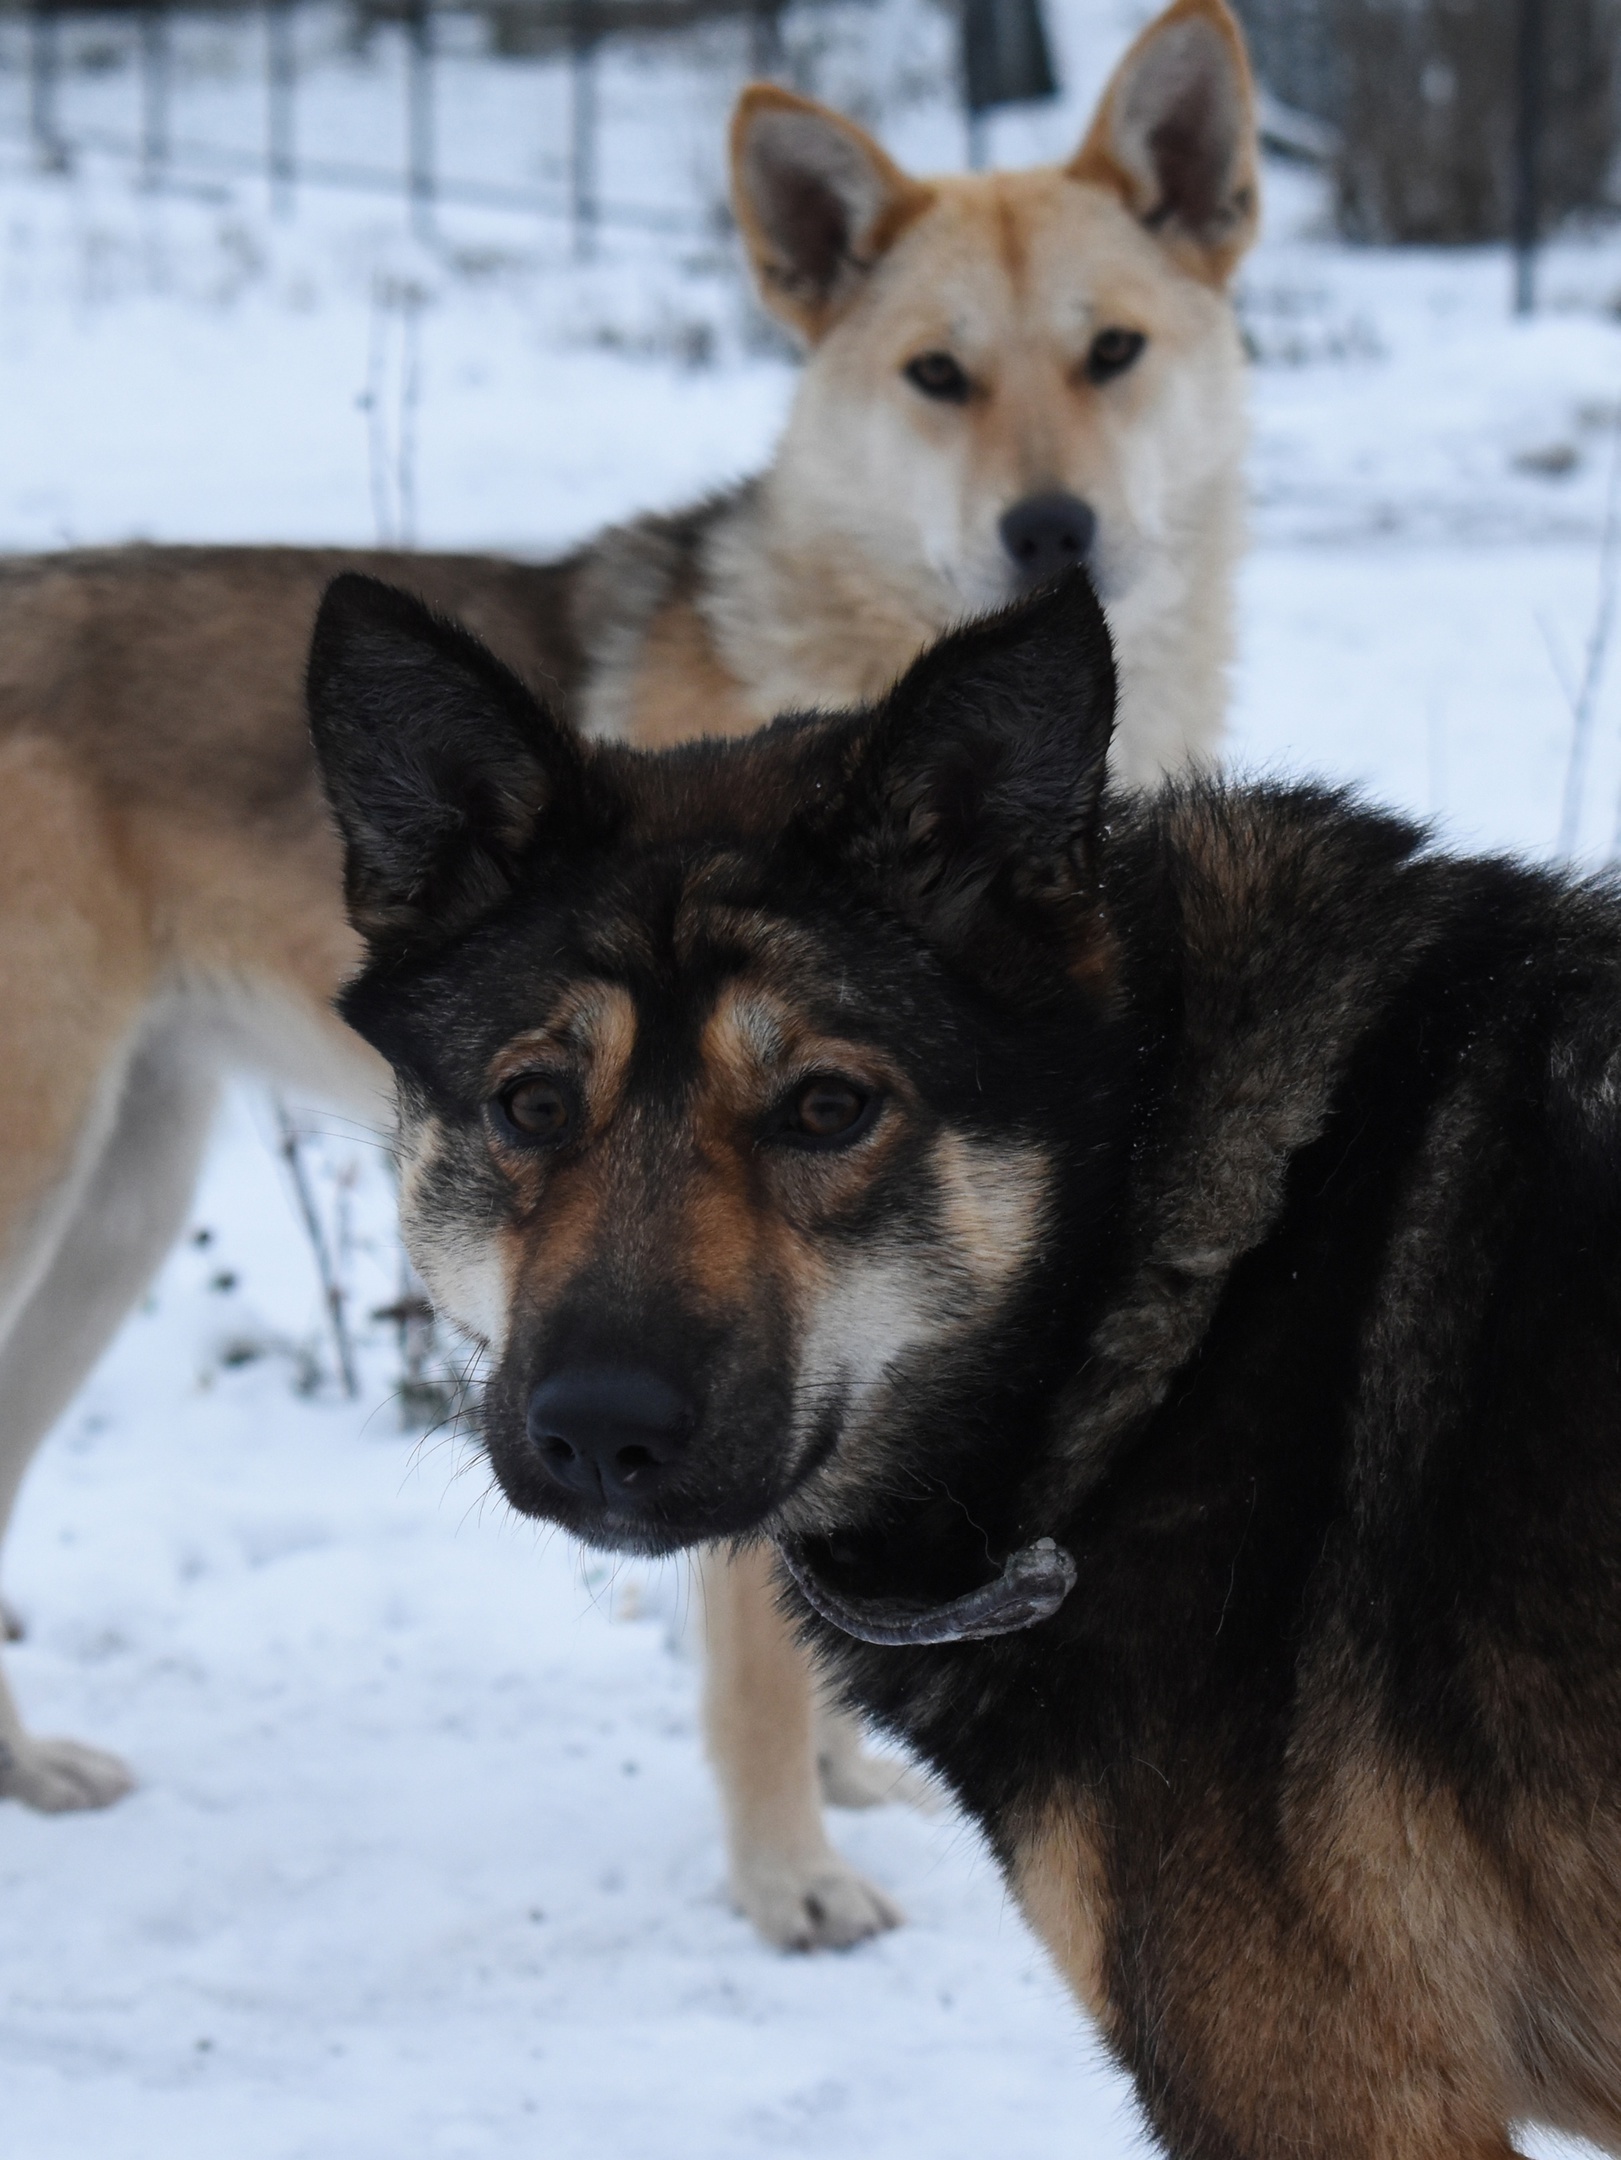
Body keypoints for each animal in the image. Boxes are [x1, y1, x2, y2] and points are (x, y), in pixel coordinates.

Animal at [0, 0, 1262, 1961]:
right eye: (937, 377)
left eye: (1112, 353)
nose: (1054, 532)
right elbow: (747, 1641)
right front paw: (790, 1877)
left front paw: (847, 1777)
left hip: (117, 1205)